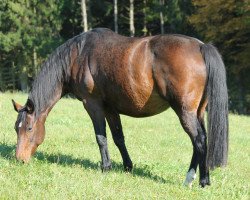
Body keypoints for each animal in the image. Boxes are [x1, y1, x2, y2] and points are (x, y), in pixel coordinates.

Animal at [11, 27, 228, 188]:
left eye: (29, 128)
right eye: (16, 128)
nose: (19, 160)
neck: (78, 55)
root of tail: (200, 46)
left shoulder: (93, 105)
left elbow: (101, 138)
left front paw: (106, 167)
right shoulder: (110, 108)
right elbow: (118, 138)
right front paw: (127, 167)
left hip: (184, 111)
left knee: (198, 140)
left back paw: (199, 180)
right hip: (197, 112)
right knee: (201, 140)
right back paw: (195, 179)